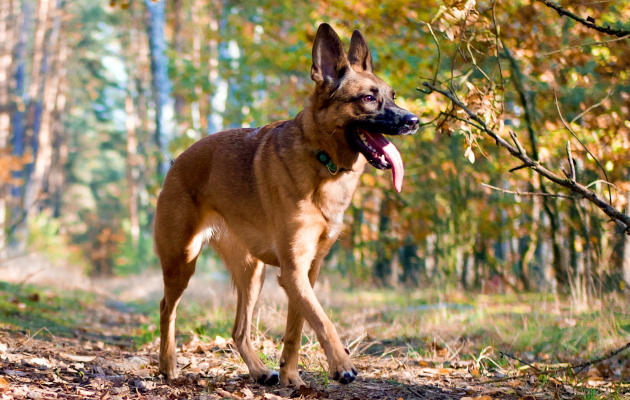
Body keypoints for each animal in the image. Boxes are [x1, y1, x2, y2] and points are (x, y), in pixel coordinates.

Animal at [154, 23, 420, 386]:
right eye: (368, 98)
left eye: (392, 95)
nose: (414, 120)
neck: (322, 161)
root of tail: (175, 162)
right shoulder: (294, 270)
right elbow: (322, 319)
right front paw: (341, 365)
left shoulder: (307, 271)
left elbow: (297, 327)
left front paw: (291, 377)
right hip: (182, 261)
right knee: (167, 309)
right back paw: (168, 365)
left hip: (253, 273)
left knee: (238, 330)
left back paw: (259, 371)